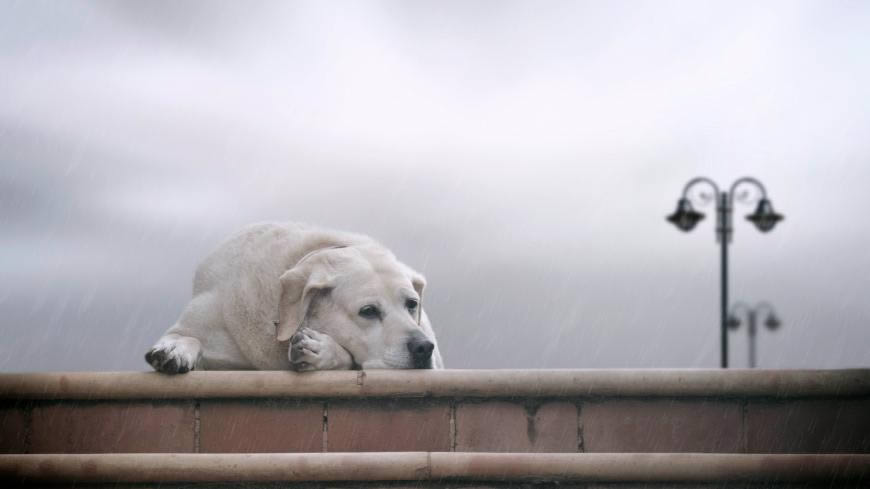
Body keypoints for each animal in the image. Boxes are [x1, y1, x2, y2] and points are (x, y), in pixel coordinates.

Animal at [145, 223, 442, 372]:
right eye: (368, 311)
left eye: (412, 304)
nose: (423, 348)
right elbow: (186, 335)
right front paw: (174, 349)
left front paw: (319, 349)